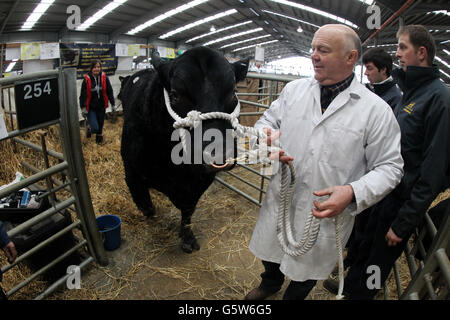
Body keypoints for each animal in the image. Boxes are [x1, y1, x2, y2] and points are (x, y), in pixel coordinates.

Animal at [119, 47, 250, 252]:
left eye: (234, 93)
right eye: (175, 94)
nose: (220, 154)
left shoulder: (200, 181)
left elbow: (188, 212)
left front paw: (187, 238)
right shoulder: (131, 172)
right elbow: (144, 203)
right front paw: (150, 215)